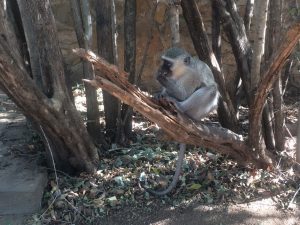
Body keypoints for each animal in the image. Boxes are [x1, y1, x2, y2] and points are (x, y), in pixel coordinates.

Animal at [143, 47, 218, 195]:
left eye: (168, 63)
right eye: (163, 61)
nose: (161, 68)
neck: (183, 71)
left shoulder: (192, 76)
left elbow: (184, 94)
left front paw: (161, 78)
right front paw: (160, 93)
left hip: (197, 111)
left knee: (211, 89)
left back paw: (180, 106)